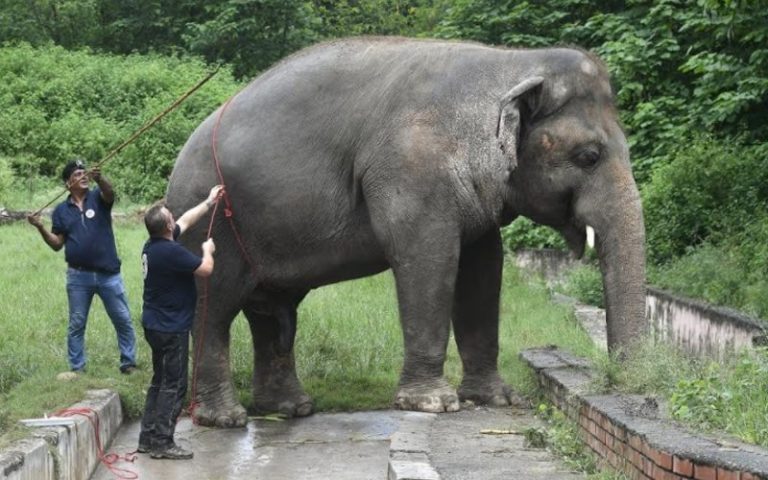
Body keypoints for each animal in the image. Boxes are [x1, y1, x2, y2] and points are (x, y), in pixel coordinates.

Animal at [166, 36, 646, 427]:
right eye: (588, 156)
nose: (623, 386)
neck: (510, 63)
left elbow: (483, 271)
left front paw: (496, 399)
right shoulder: (411, 171)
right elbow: (429, 260)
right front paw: (434, 404)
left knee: (272, 313)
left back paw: (289, 409)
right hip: (210, 223)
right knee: (216, 308)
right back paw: (225, 419)